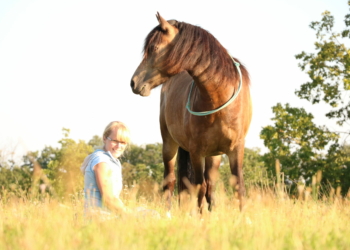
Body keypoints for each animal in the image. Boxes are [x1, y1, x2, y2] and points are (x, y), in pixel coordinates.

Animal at [131, 12, 252, 211]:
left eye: (154, 47)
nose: (133, 82)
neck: (218, 98)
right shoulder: (197, 152)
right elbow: (198, 188)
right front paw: (200, 216)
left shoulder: (236, 149)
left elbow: (238, 188)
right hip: (169, 145)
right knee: (171, 181)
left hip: (214, 155)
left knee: (210, 185)